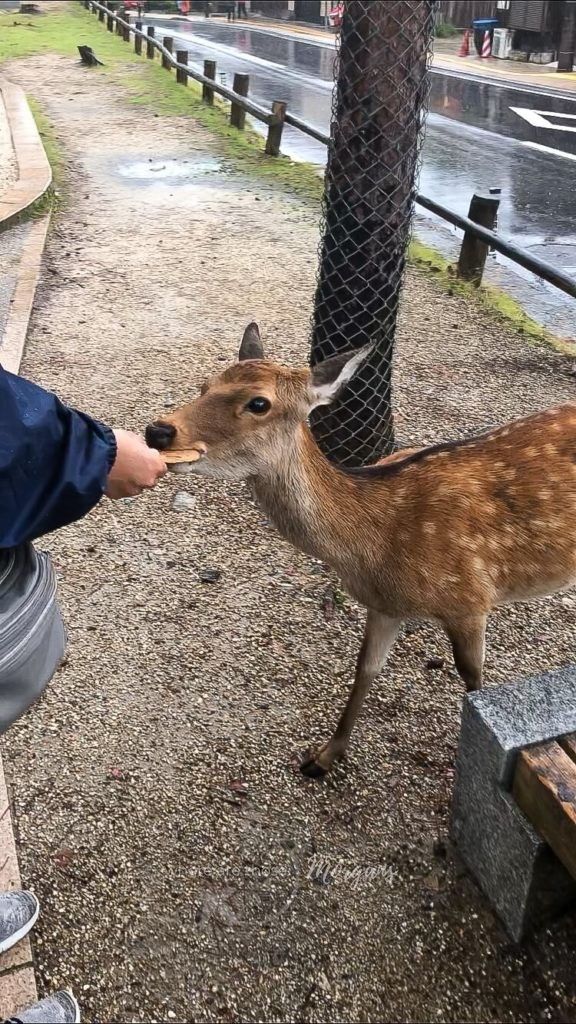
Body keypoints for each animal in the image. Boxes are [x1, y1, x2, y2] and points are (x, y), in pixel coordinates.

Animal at [145, 323, 573, 778]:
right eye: (204, 385)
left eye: (258, 402)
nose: (158, 432)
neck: (375, 544)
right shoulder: (384, 605)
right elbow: (366, 668)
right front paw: (323, 757)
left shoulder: (471, 600)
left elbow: (475, 683)